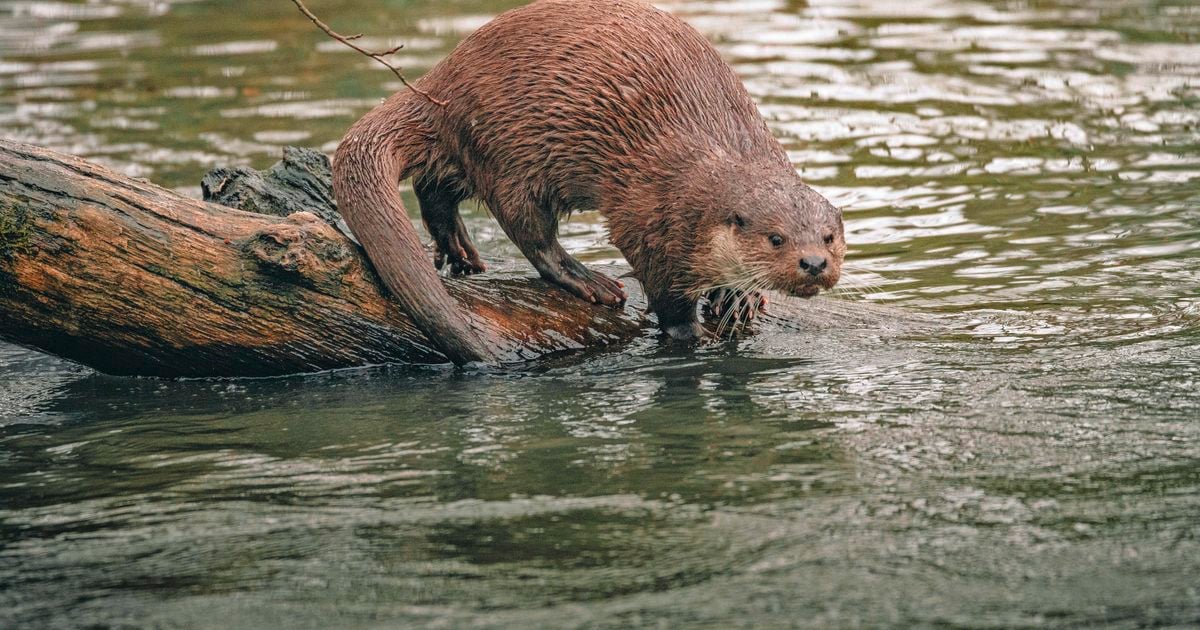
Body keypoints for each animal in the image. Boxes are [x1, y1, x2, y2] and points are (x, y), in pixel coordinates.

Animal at [333, 0, 849, 362]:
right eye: (776, 238)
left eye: (828, 236)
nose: (814, 263)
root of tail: (439, 83)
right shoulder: (648, 218)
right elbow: (664, 292)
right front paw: (689, 334)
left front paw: (737, 298)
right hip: (511, 150)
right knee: (529, 232)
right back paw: (587, 281)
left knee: (435, 186)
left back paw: (459, 250)